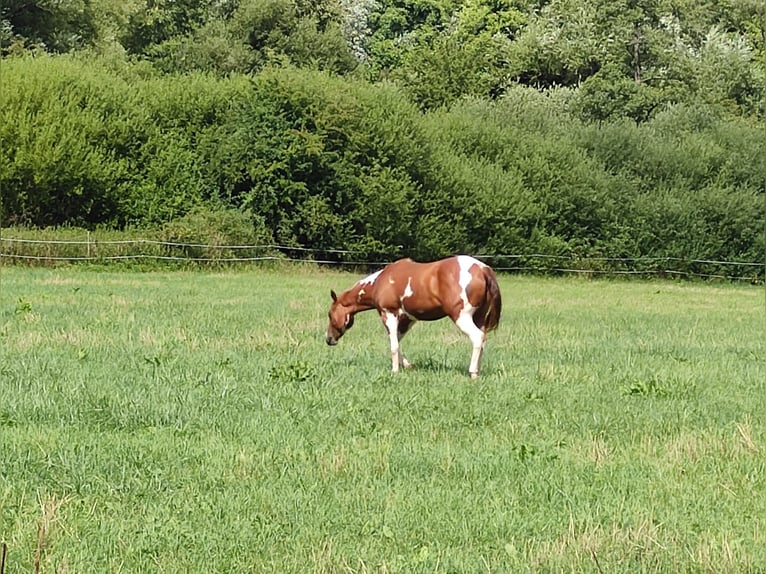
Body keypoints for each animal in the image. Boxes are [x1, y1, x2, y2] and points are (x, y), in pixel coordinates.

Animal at [326, 255, 500, 378]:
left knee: (477, 338)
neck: (380, 282)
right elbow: (398, 342)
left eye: (330, 314)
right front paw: (408, 366)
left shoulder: (389, 314)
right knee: (483, 340)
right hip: (479, 318)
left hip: (461, 317)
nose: (328, 339)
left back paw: (473, 373)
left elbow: (393, 345)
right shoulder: (408, 319)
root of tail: (483, 269)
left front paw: (395, 371)